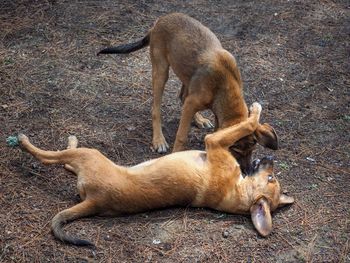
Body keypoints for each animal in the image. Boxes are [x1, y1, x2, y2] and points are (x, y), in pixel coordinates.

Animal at [18, 103, 292, 248]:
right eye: (273, 178)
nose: (271, 160)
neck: (236, 190)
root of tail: (95, 202)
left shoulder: (213, 141)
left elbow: (246, 124)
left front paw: (255, 112)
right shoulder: (216, 143)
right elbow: (245, 126)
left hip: (90, 156)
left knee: (51, 157)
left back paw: (25, 140)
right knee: (65, 164)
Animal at [97, 13, 278, 176]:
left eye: (252, 149)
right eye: (236, 151)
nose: (247, 172)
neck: (224, 85)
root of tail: (159, 21)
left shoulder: (202, 105)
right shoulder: (192, 103)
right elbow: (181, 135)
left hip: (186, 76)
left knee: (182, 96)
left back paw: (200, 120)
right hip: (161, 70)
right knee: (156, 108)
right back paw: (159, 140)